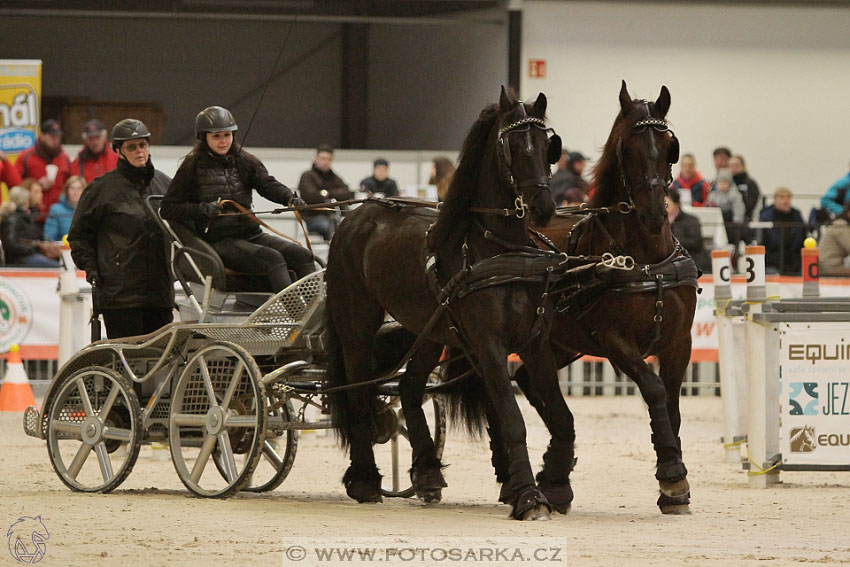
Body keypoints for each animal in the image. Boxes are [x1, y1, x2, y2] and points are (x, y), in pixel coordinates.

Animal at [324, 85, 564, 524]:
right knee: (359, 394)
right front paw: (528, 496)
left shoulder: (534, 342)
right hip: (356, 324)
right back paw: (365, 480)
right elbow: (512, 419)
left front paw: (541, 487)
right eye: (512, 145)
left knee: (408, 387)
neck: (501, 249)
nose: (543, 207)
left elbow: (557, 414)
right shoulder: (489, 345)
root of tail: (357, 215)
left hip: (429, 330)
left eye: (547, 145)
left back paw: (427, 472)